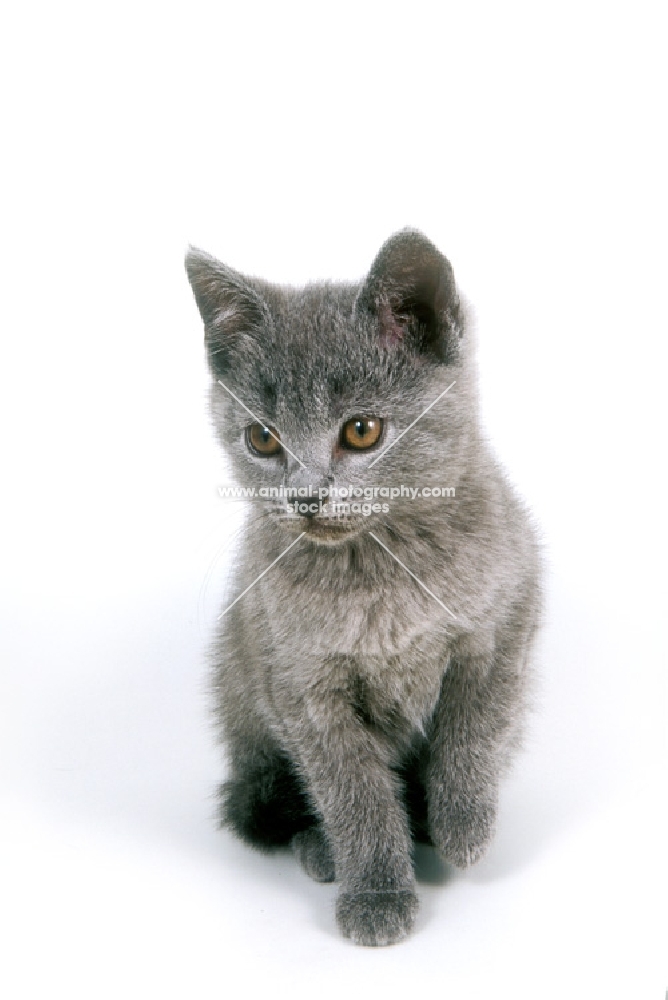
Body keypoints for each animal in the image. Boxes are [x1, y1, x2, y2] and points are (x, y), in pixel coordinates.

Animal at [185, 229, 540, 944]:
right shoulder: (299, 684)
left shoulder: (512, 606)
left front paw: (463, 821)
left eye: (361, 430)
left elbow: (479, 720)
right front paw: (377, 891)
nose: (305, 498)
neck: (376, 570)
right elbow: (353, 791)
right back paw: (323, 848)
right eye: (262, 438)